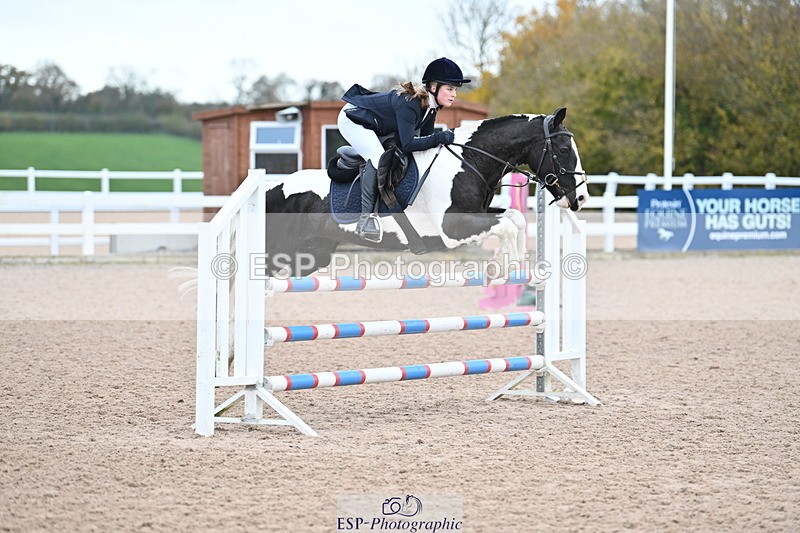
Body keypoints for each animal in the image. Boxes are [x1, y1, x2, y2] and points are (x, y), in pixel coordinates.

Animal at [263, 107, 588, 277]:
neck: (469, 160)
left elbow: (515, 218)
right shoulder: (453, 228)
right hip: (278, 251)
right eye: (563, 150)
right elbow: (507, 224)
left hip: (311, 254)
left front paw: (517, 264)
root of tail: (271, 189)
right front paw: (502, 268)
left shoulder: (478, 214)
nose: (581, 198)